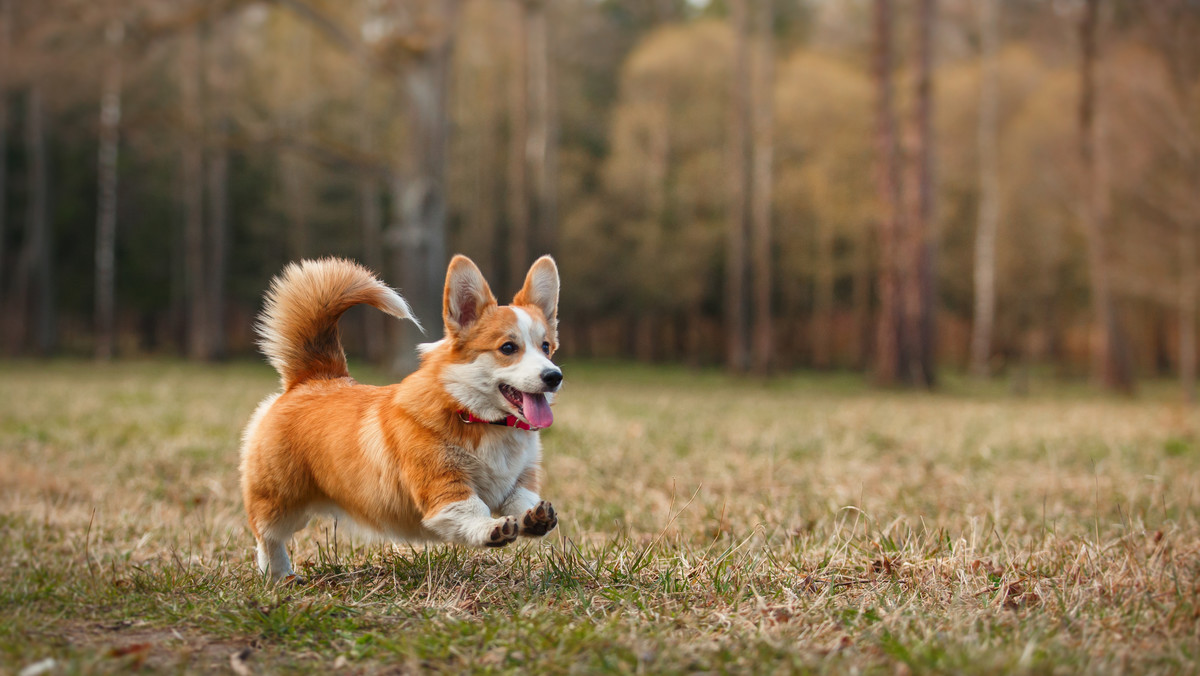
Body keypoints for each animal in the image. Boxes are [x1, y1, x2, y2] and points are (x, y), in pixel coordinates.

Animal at [243, 255, 566, 581]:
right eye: (508, 348)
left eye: (546, 347)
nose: (554, 376)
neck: (479, 418)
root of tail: (313, 377)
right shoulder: (444, 487)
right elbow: (472, 510)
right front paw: (491, 528)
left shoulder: (519, 481)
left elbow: (522, 500)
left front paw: (535, 518)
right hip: (279, 500)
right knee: (267, 536)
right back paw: (278, 576)